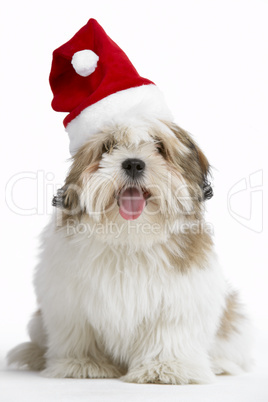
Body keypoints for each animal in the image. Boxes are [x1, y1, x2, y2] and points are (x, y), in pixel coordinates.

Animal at [6, 18, 253, 384]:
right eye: (108, 147)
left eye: (159, 147)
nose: (134, 163)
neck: (129, 234)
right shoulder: (69, 299)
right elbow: (79, 331)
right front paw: (84, 365)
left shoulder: (180, 299)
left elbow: (170, 331)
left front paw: (165, 368)